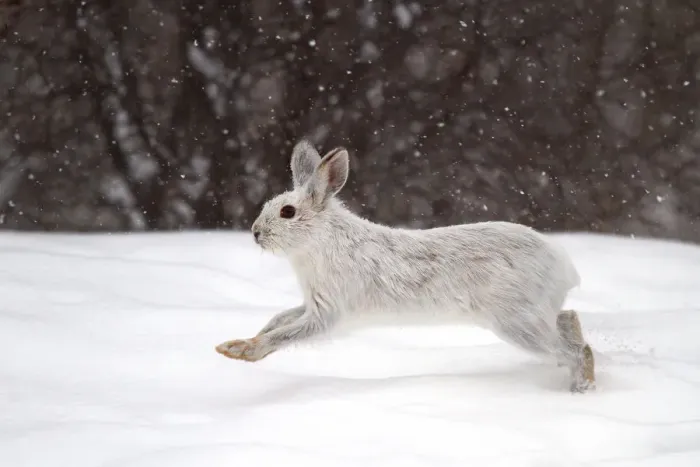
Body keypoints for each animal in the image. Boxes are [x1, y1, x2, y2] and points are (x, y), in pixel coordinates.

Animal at [215, 140, 596, 393]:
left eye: (288, 212)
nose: (256, 233)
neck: (321, 239)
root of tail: (564, 267)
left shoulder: (327, 312)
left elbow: (286, 334)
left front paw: (243, 351)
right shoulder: (312, 303)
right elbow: (280, 319)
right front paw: (238, 343)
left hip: (516, 321)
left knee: (573, 349)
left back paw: (582, 386)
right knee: (568, 319)